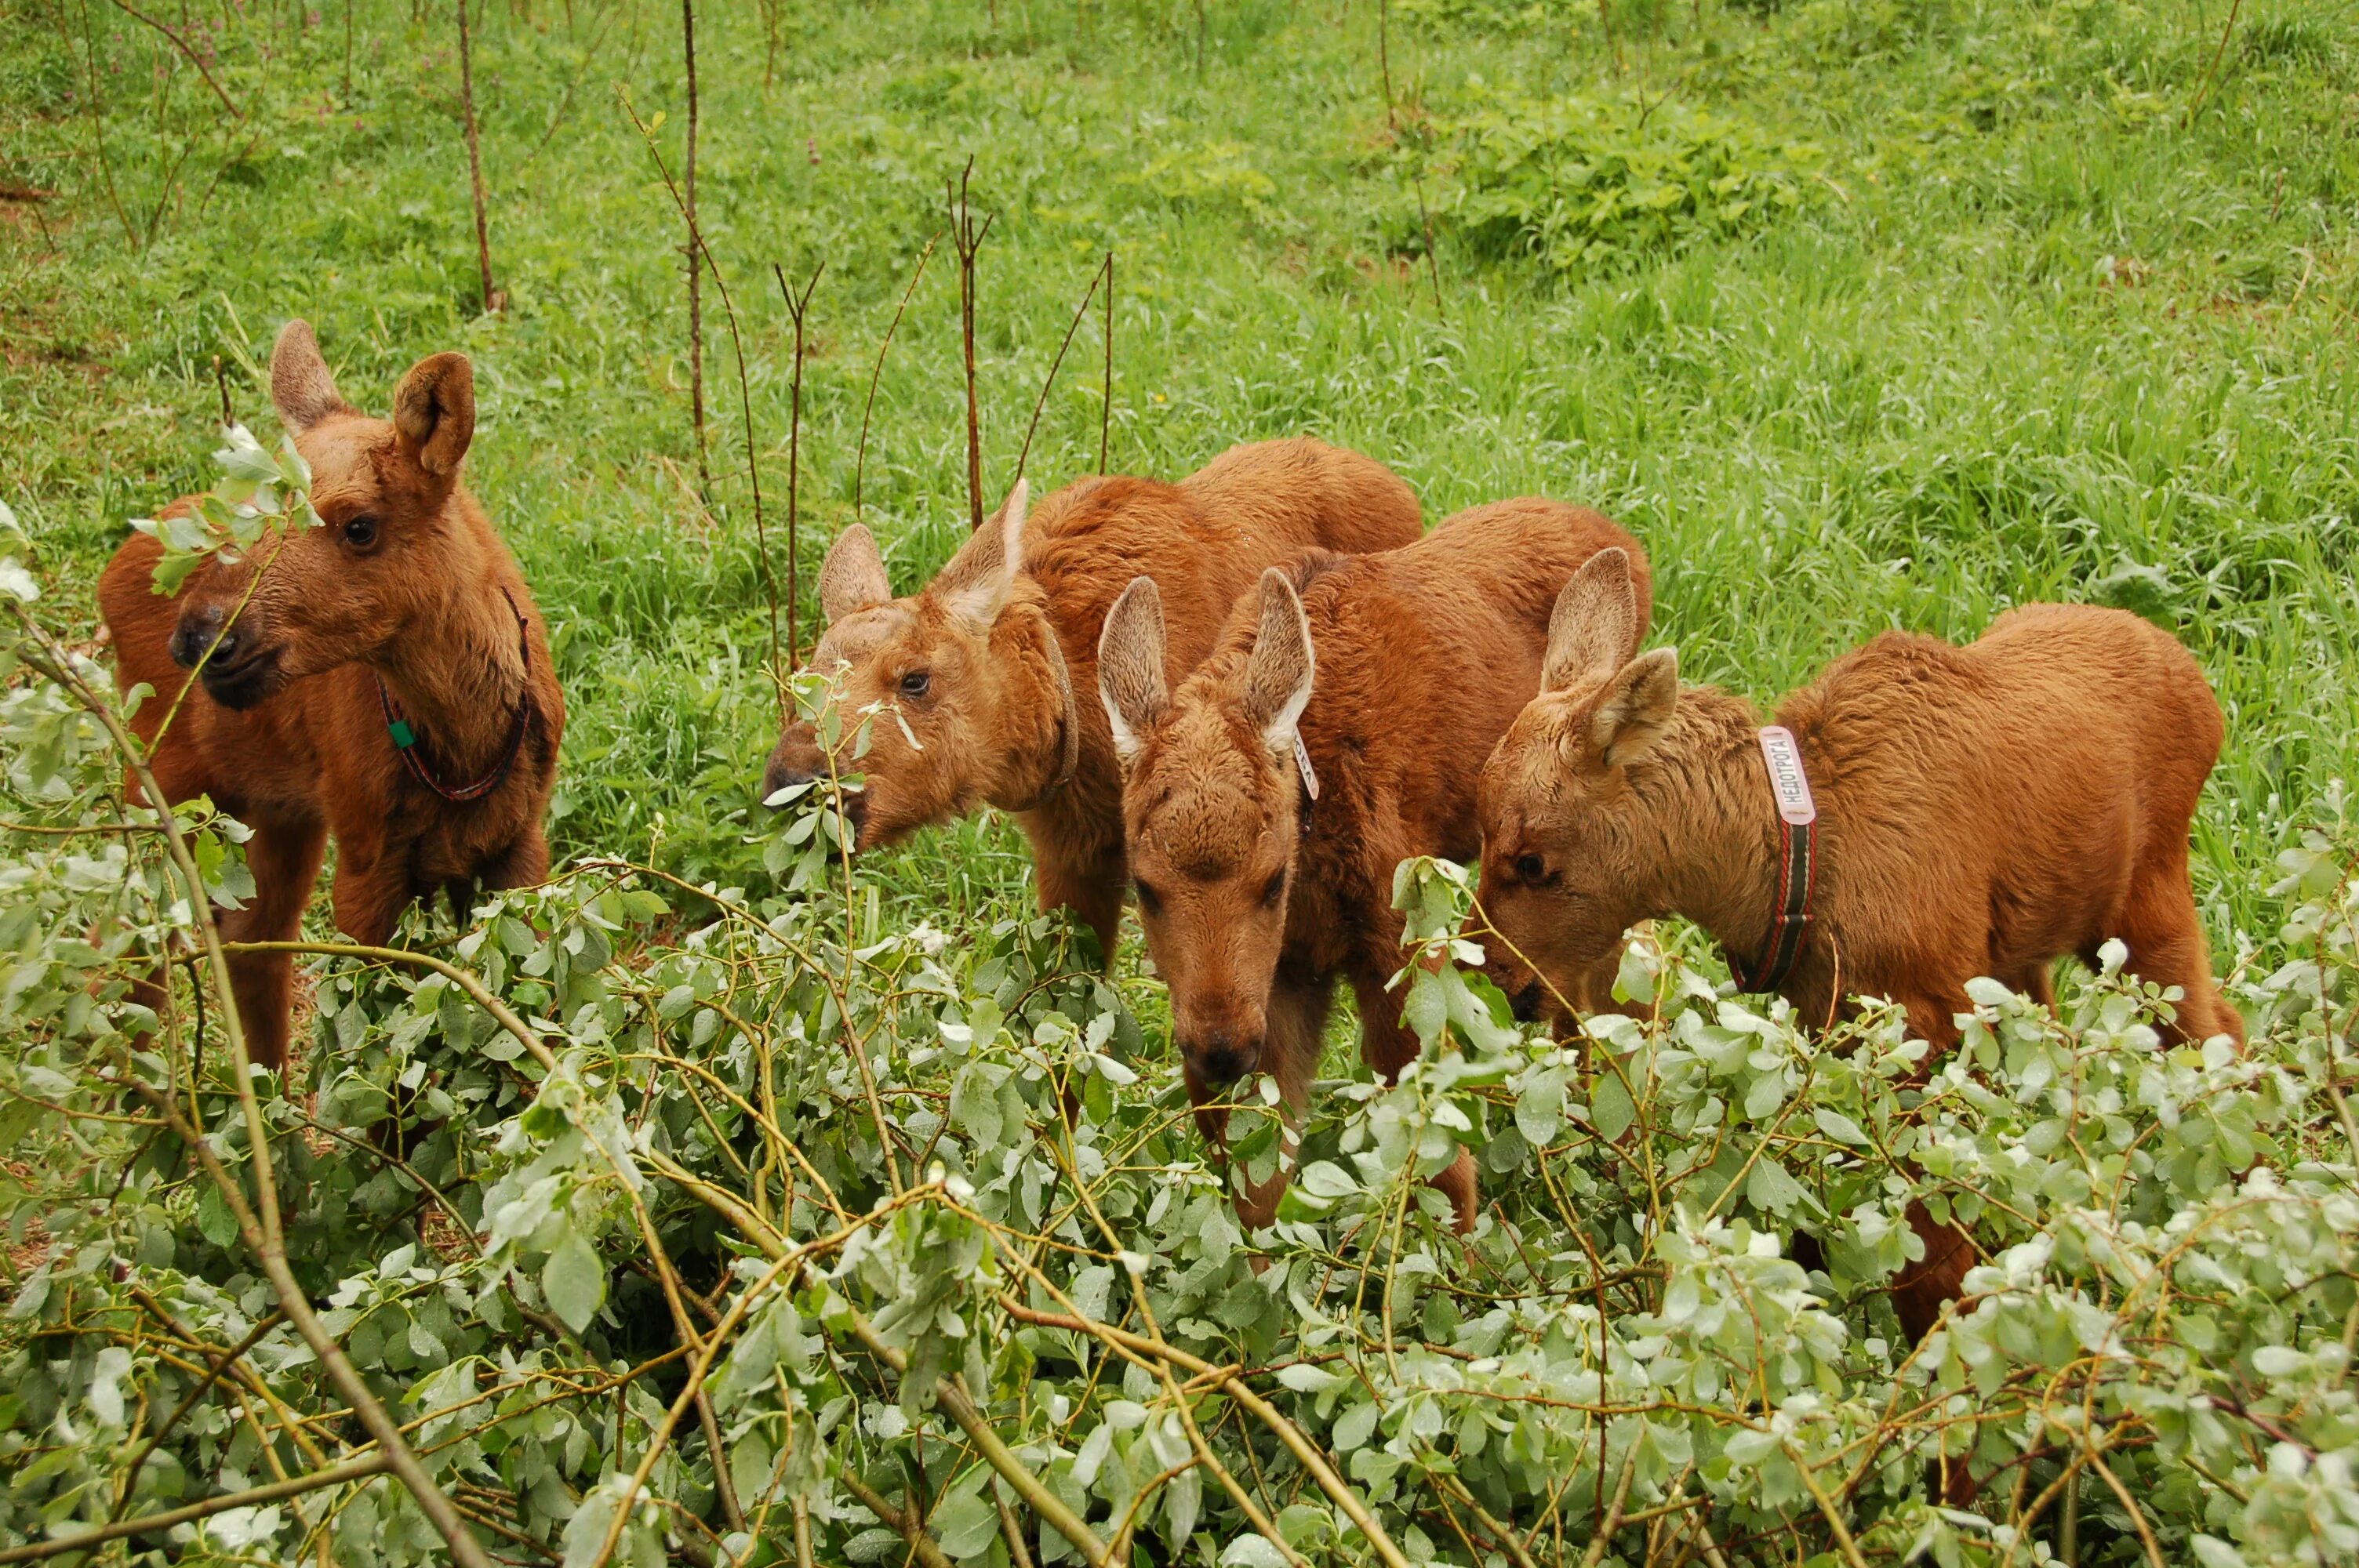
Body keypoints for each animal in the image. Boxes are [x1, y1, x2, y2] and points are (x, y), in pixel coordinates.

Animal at [101, 323, 565, 1070]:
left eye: (360, 526)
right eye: (251, 513)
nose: (201, 637)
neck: (464, 751)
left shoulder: (520, 841)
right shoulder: (365, 853)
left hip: (275, 810)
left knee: (249, 944)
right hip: (160, 780)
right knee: (126, 956)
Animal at [1094, 497, 1651, 1225]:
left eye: (1272, 879)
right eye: (1144, 885)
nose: (1221, 1049)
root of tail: (1624, 544)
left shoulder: (1396, 943)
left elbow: (1445, 1171)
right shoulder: (1287, 977)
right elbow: (1256, 1184)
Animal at [1481, 549, 2236, 1330]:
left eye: (1532, 861)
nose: (1502, 978)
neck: (1787, 879)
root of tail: (2197, 681)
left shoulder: (1922, 1023)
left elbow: (1930, 1257)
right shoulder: (1834, 1025)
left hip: (2145, 902)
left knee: (2217, 1032)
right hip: (2025, 955)